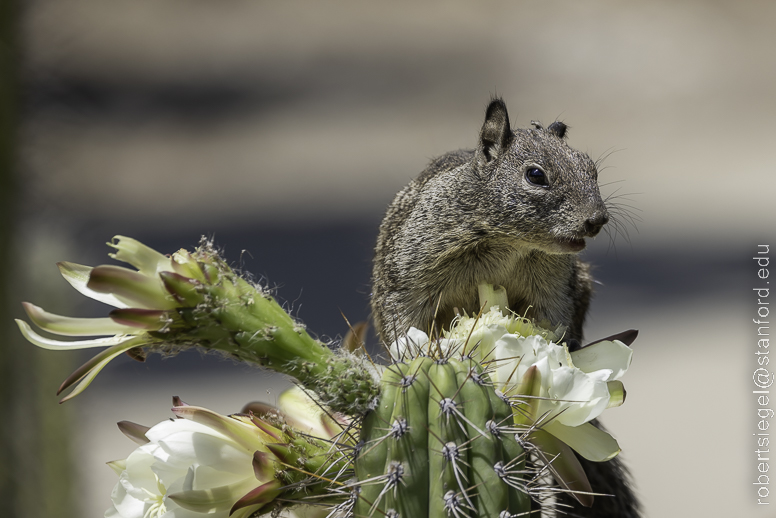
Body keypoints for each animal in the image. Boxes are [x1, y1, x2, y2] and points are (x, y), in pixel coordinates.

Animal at [372, 98, 640, 518]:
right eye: (536, 175)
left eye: (591, 168)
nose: (597, 219)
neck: (509, 243)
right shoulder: (410, 277)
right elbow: (404, 318)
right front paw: (415, 358)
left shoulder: (555, 287)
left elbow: (554, 328)